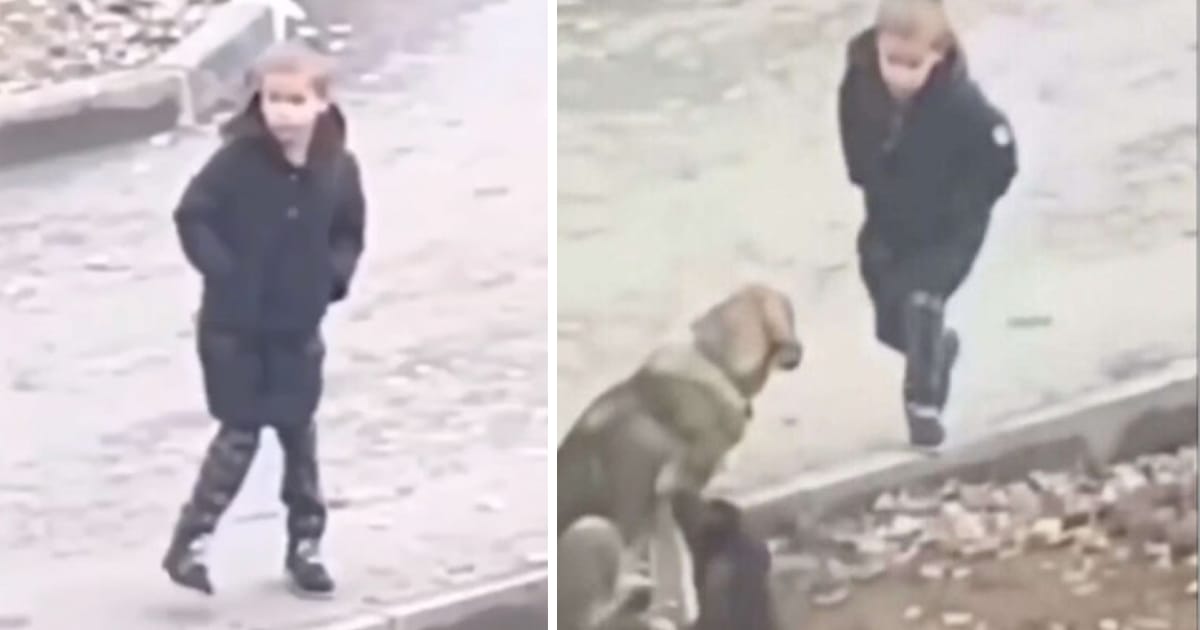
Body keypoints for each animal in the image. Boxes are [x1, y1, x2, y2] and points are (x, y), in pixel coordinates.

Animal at [556, 283, 801, 624]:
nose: (798, 353)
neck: (713, 363)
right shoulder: (675, 490)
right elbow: (679, 561)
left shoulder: (661, 508)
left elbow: (672, 564)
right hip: (594, 528)